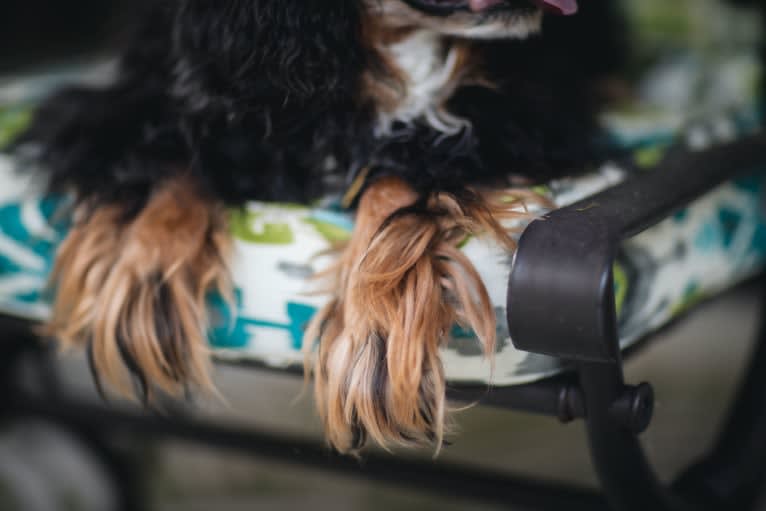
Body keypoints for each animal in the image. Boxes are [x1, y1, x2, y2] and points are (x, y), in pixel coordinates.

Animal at [15, 0, 632, 454]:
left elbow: (398, 173)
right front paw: (146, 281)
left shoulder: (533, 118)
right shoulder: (128, 103)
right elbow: (178, 155)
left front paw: (375, 333)